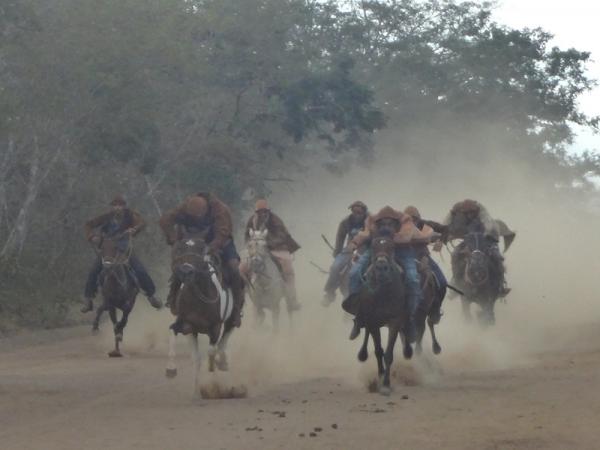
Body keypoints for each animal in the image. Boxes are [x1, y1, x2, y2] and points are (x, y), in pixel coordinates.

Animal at [166, 232, 239, 398]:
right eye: (180, 249)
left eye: (201, 249)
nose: (186, 272)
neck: (198, 298)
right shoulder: (187, 326)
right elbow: (194, 357)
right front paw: (171, 370)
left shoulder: (215, 326)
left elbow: (211, 351)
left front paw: (213, 377)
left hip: (230, 319)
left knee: (227, 334)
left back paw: (221, 362)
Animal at [350, 237, 414, 396]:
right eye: (373, 247)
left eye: (392, 247)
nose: (381, 267)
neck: (382, 293)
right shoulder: (373, 321)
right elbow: (378, 351)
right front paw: (380, 379)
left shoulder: (394, 321)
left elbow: (388, 354)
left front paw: (386, 384)